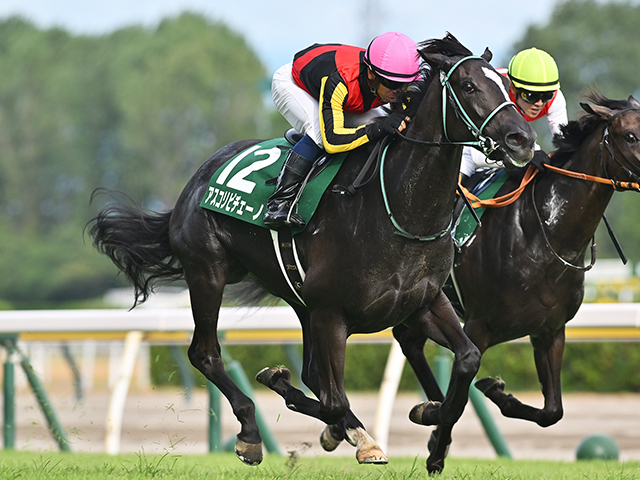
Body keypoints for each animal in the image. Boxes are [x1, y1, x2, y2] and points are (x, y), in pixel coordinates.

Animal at [86, 34, 536, 472]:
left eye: (505, 85)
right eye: (468, 86)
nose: (523, 139)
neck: (401, 211)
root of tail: (196, 180)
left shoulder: (423, 302)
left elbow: (467, 361)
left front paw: (431, 423)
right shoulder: (331, 313)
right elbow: (334, 400)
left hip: (297, 299)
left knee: (309, 373)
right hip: (208, 272)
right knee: (206, 353)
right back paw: (254, 432)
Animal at [396, 91, 640, 438]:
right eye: (630, 136)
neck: (543, 236)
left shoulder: (550, 331)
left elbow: (552, 411)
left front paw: (496, 391)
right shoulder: (477, 327)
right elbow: (455, 405)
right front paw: (435, 427)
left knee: (408, 341)